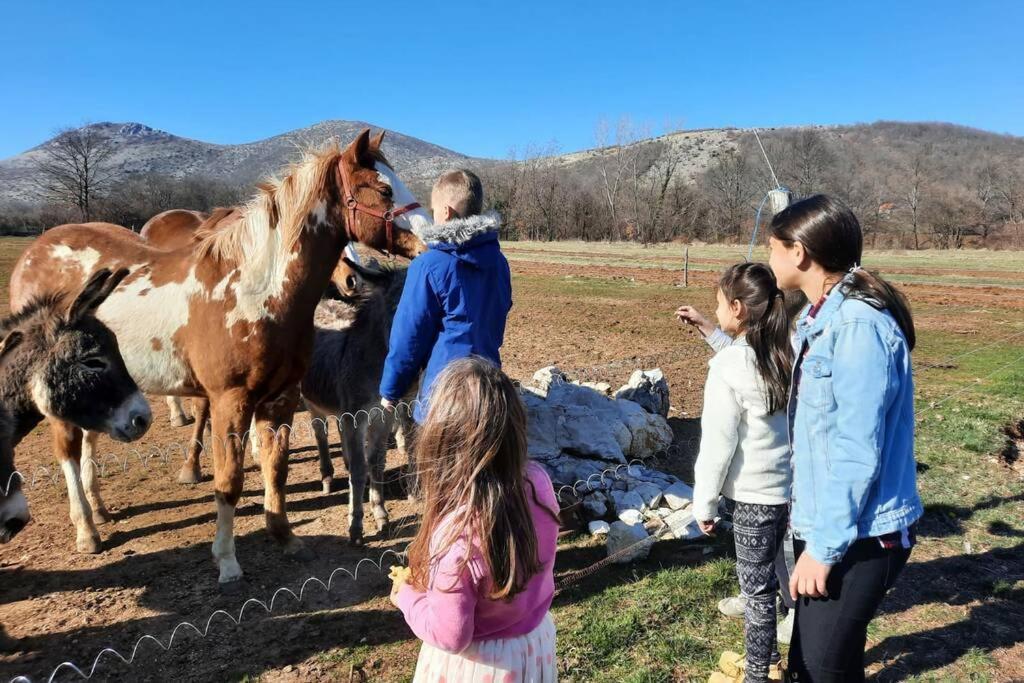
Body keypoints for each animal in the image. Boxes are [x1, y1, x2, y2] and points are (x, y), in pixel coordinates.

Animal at [9, 129, 430, 589]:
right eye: (383, 189)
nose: (430, 239)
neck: (252, 291)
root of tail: (33, 254)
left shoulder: (281, 399)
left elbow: (276, 469)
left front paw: (285, 537)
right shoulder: (231, 401)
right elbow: (229, 481)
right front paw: (227, 560)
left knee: (88, 441)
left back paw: (100, 510)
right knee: (67, 451)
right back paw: (87, 529)